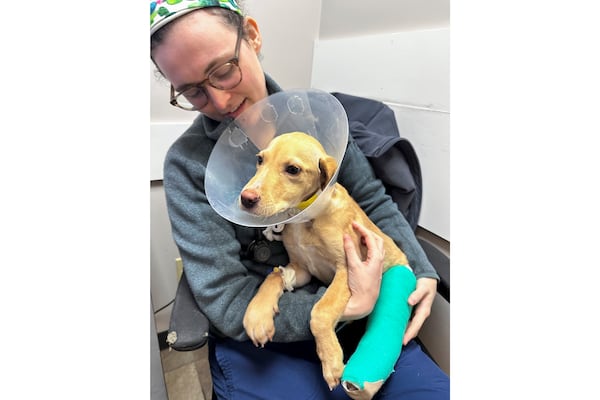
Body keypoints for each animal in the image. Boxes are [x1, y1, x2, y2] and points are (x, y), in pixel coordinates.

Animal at [241, 131, 410, 390]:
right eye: (260, 160)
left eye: (293, 169)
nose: (245, 198)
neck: (306, 219)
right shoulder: (300, 269)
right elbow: (273, 277)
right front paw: (257, 314)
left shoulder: (346, 268)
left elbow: (320, 311)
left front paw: (330, 360)